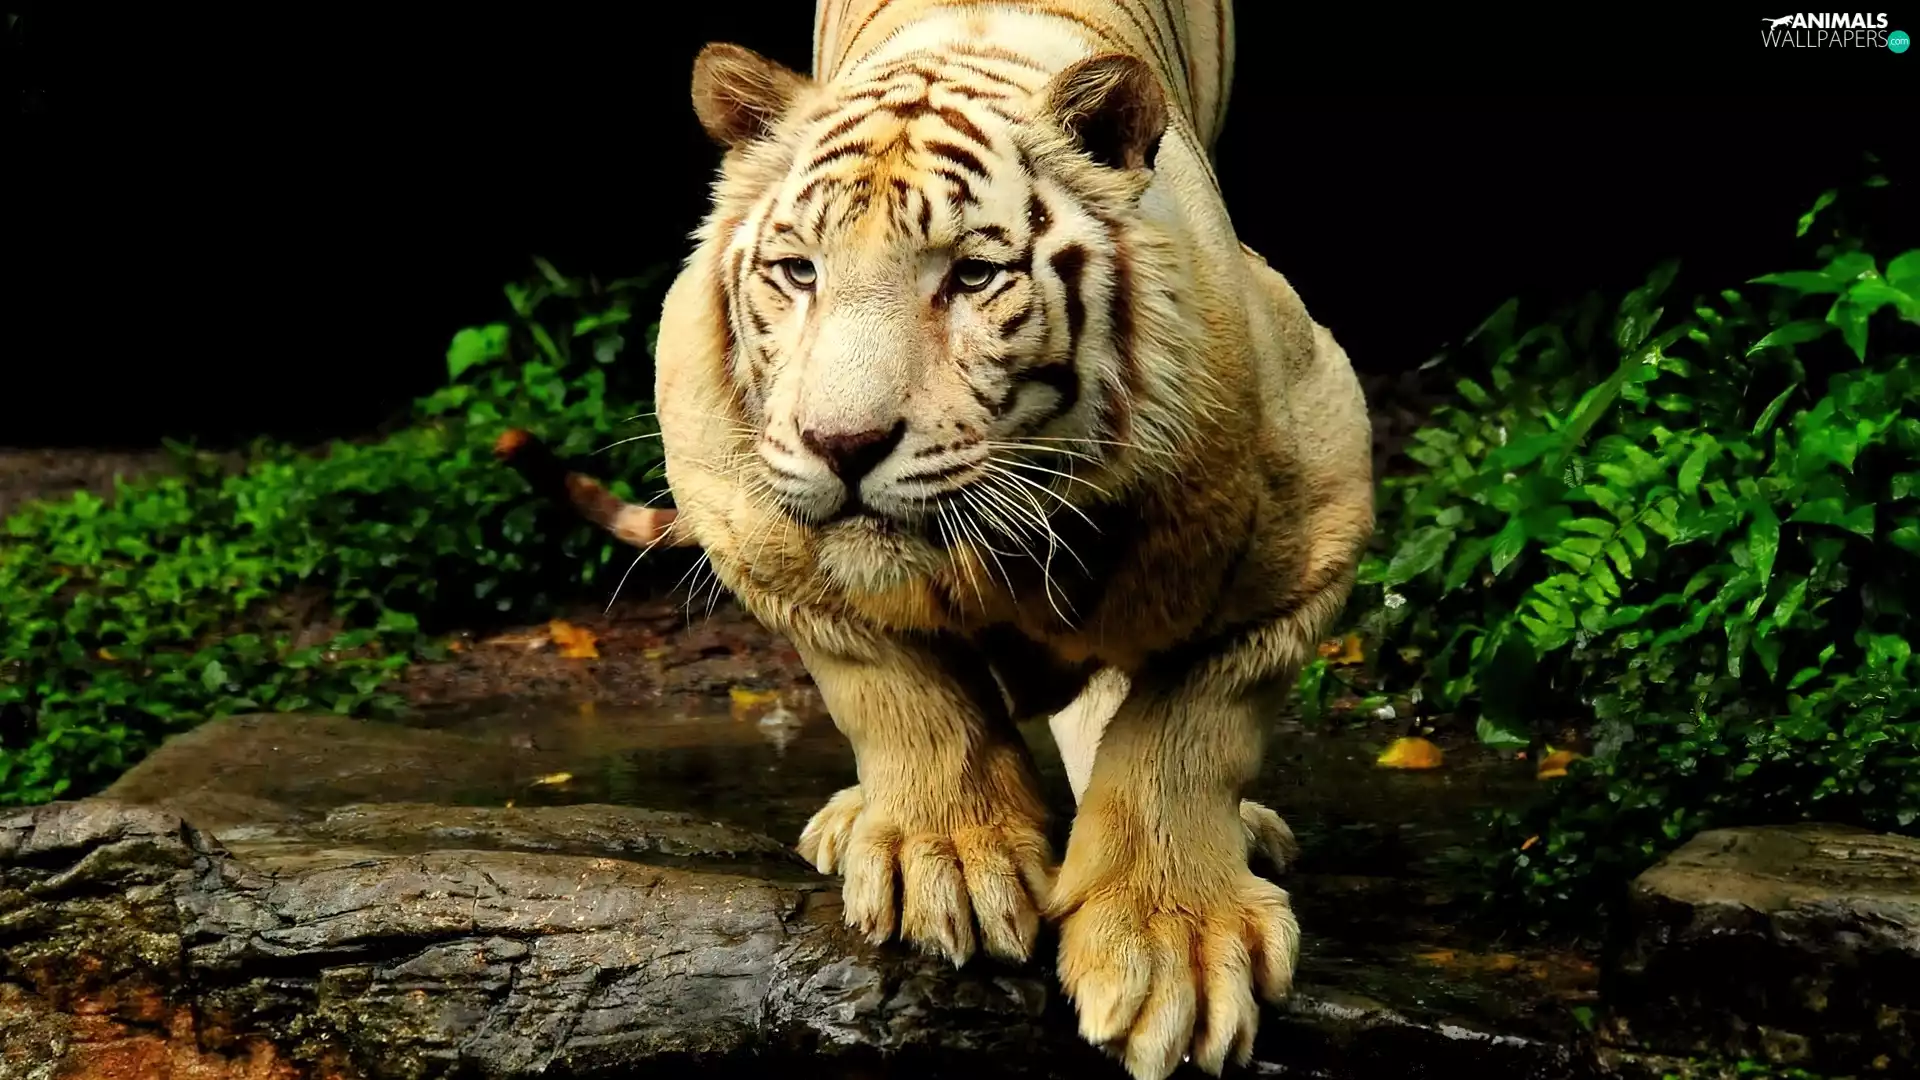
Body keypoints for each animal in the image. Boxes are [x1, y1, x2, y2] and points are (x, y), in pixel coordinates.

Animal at [638, 2, 1376, 1077]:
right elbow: (897, 693)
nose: (841, 445)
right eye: (799, 271)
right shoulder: (750, 521)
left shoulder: (1314, 508)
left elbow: (1189, 732)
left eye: (973, 276)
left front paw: (1173, 949)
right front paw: (943, 863)